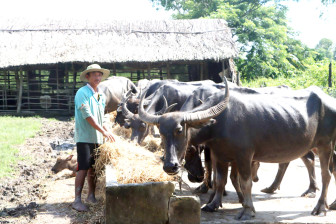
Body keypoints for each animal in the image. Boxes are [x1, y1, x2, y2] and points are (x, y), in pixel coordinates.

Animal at [138, 77, 334, 220]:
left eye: (179, 130)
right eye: (161, 132)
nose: (170, 166)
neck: (220, 122)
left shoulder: (244, 156)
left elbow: (245, 182)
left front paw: (247, 210)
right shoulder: (219, 155)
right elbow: (219, 179)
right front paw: (212, 204)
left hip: (325, 145)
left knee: (326, 174)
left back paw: (320, 206)